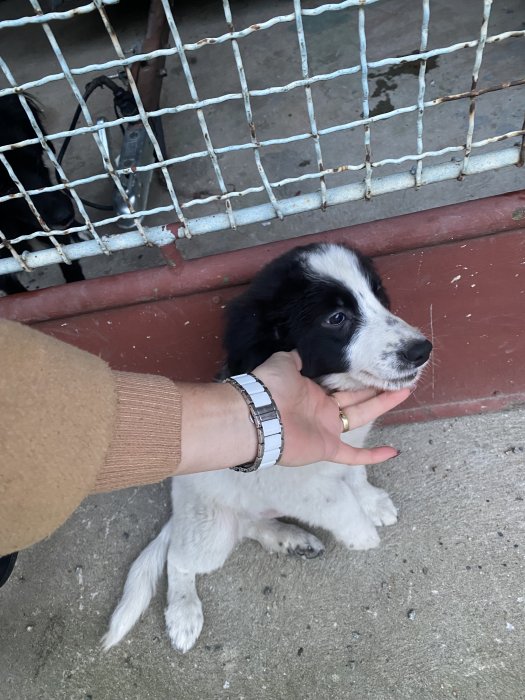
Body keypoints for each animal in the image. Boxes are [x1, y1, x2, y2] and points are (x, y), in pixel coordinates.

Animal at [103, 242, 432, 653]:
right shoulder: (291, 481)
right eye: (337, 318)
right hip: (209, 529)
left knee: (248, 526)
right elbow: (337, 500)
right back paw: (183, 612)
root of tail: (177, 512)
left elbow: (355, 474)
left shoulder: (349, 446)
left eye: (379, 295)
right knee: (179, 560)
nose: (422, 350)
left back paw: (288, 539)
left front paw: (371, 502)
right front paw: (360, 533)